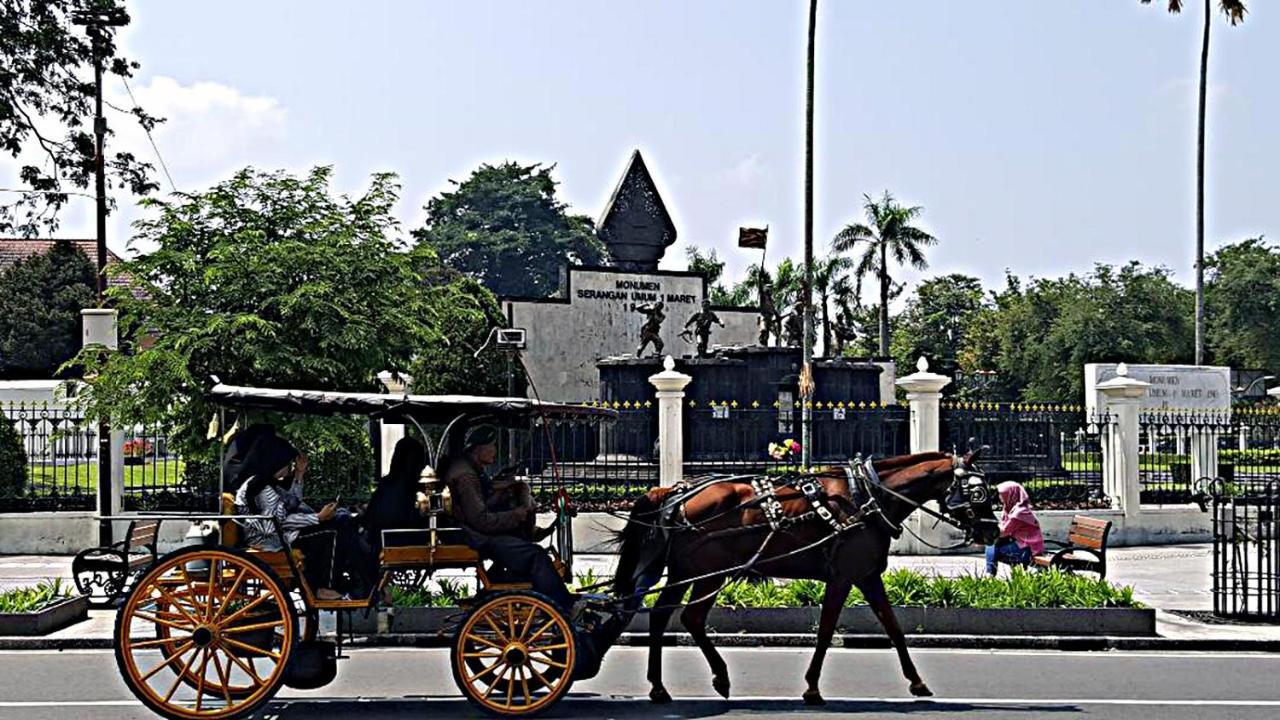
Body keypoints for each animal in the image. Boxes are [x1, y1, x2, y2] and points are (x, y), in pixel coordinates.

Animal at [611, 448, 998, 702]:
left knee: (668, 615)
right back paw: (699, 680)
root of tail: (675, 492)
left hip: (692, 572)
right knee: (684, 616)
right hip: (706, 572)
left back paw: (669, 685)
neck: (867, 496)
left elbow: (893, 627)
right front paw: (812, 687)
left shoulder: (866, 576)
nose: (993, 531)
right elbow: (826, 630)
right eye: (979, 492)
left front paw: (917, 682)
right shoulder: (843, 577)